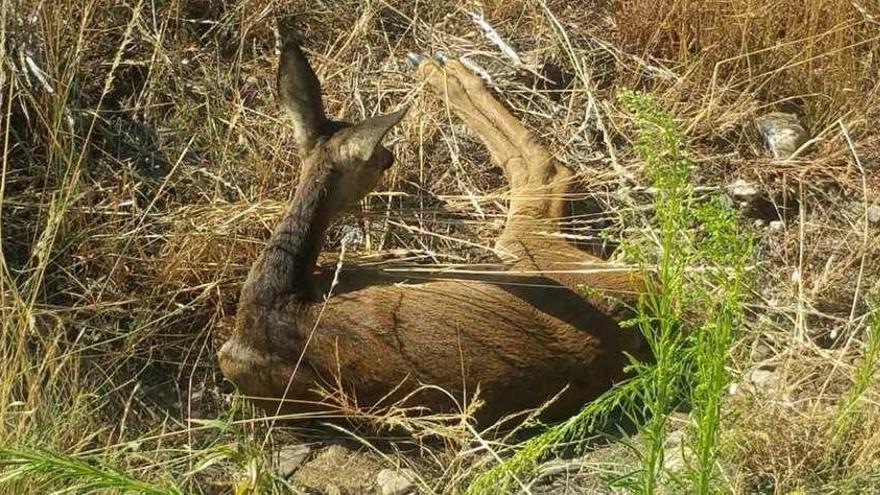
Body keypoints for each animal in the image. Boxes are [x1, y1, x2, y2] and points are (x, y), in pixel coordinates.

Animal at [218, 39, 648, 426]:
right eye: (379, 161)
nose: (391, 156)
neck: (274, 298)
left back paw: (440, 65)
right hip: (529, 252)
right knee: (546, 173)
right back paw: (441, 65)